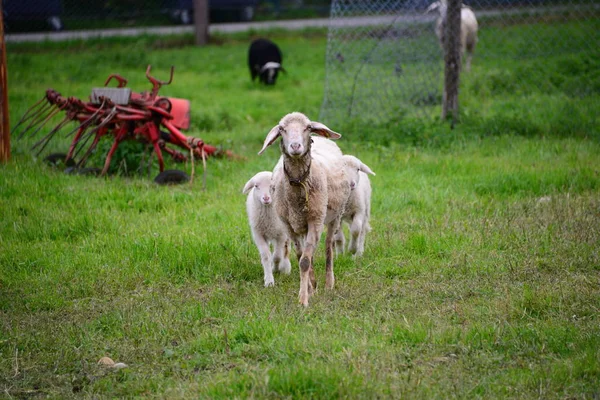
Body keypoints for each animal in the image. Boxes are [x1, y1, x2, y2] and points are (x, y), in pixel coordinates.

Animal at [258, 112, 352, 306]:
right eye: (281, 129)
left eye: (307, 127)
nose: (295, 146)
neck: (298, 185)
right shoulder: (289, 225)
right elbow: (301, 256)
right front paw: (309, 289)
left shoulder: (315, 220)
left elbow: (305, 261)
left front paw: (303, 300)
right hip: (302, 224)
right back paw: (314, 285)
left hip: (334, 216)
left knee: (328, 247)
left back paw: (329, 283)